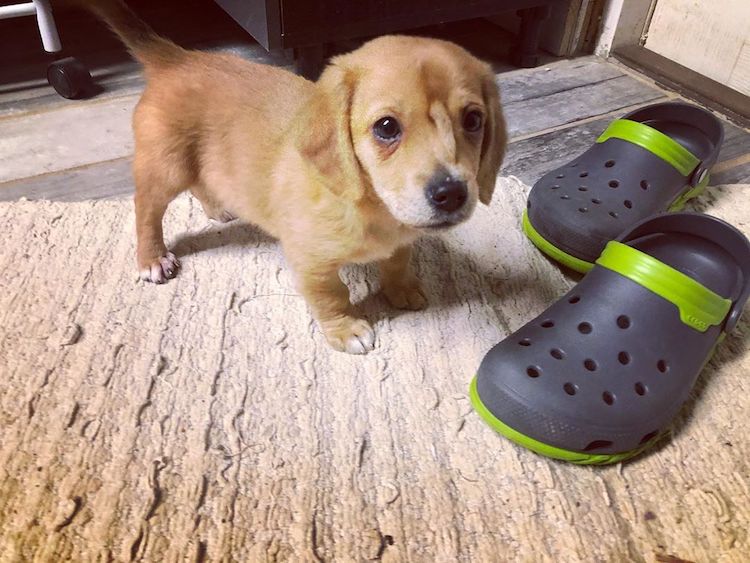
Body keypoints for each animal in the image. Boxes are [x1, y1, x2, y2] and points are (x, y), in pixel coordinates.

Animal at [86, 0, 512, 352]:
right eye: (387, 127)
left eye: (473, 120)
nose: (451, 194)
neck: (374, 209)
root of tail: (175, 58)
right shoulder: (311, 262)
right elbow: (331, 296)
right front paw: (346, 330)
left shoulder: (401, 241)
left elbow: (397, 262)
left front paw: (402, 289)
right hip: (166, 167)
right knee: (146, 209)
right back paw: (152, 257)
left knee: (201, 183)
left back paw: (218, 208)